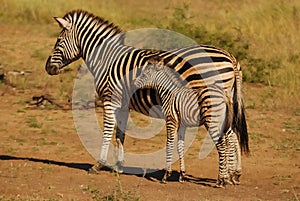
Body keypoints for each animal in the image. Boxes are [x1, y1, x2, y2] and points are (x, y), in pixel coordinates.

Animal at [135, 57, 237, 187]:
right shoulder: (182, 124)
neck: (169, 93)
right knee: (227, 142)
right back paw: (225, 178)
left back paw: (221, 181)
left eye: (144, 74)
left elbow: (169, 145)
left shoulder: (171, 120)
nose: (133, 84)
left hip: (212, 122)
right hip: (222, 123)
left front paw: (166, 176)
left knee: (222, 145)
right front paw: (182, 175)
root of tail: (224, 95)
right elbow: (180, 146)